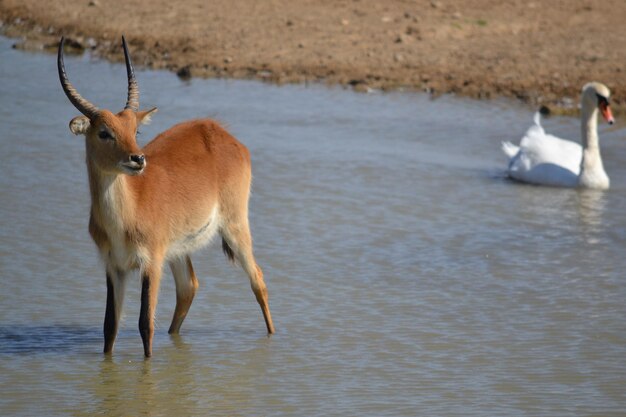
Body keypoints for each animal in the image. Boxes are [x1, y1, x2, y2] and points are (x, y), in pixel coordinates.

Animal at [55, 35, 272, 356]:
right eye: (104, 132)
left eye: (135, 130)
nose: (138, 159)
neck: (127, 214)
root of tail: (221, 132)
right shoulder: (114, 267)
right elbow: (110, 327)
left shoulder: (151, 262)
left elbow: (145, 324)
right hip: (179, 248)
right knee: (189, 287)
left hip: (234, 226)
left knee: (257, 278)